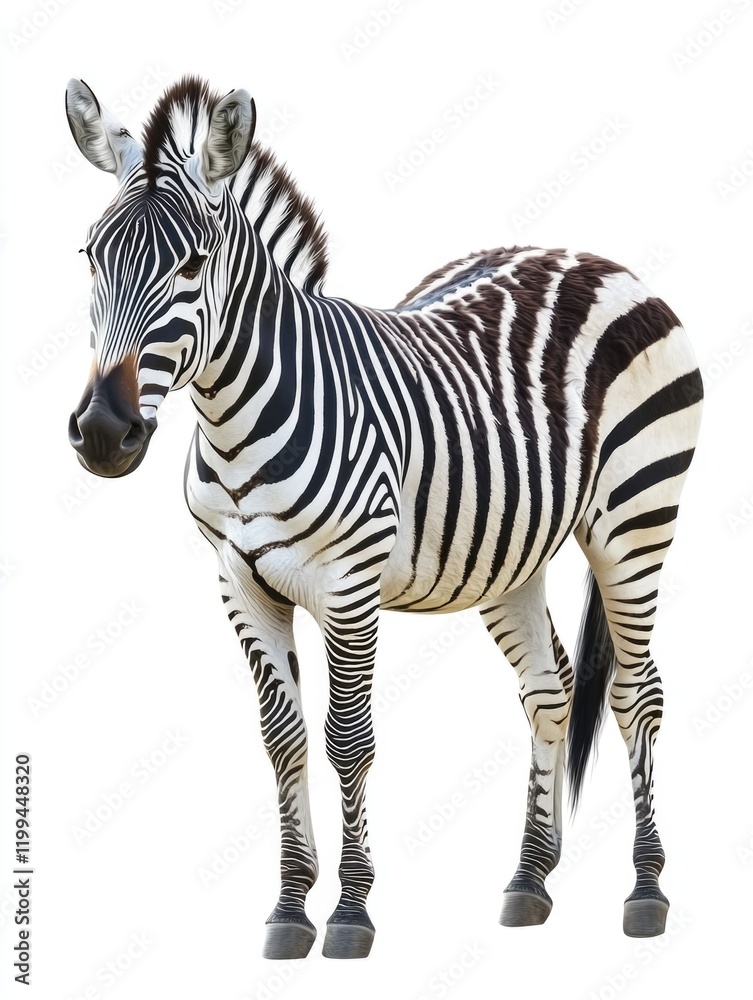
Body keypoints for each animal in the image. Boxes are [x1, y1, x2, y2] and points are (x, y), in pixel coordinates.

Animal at [65, 76, 703, 960]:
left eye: (192, 264)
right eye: (91, 256)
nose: (102, 431)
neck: (235, 418)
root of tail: (591, 259)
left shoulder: (349, 585)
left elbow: (347, 739)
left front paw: (349, 911)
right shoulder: (239, 583)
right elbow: (283, 740)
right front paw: (288, 908)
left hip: (635, 520)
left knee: (636, 694)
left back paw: (644, 890)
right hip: (509, 550)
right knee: (548, 691)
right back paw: (528, 880)